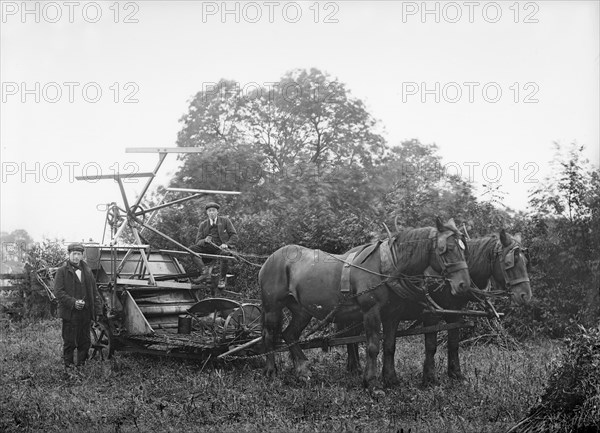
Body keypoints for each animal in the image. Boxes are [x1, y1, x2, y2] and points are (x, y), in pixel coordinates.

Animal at [260, 218, 472, 390]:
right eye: (447, 249)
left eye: (464, 249)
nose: (464, 285)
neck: (387, 267)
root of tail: (269, 259)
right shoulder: (371, 312)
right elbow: (373, 346)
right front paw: (372, 383)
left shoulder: (392, 314)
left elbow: (389, 346)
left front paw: (391, 380)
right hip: (272, 307)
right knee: (269, 336)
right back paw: (272, 373)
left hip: (302, 310)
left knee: (290, 334)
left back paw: (303, 371)